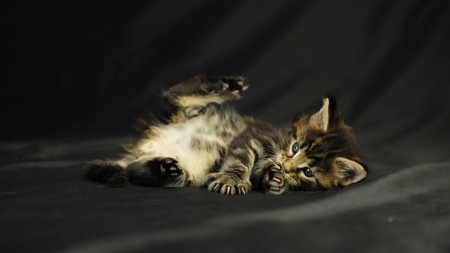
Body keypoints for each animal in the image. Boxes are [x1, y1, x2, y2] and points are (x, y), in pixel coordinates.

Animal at [86, 76, 368, 195]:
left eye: (308, 171)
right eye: (296, 147)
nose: (286, 164)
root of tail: (145, 145)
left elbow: (262, 175)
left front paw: (276, 181)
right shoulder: (253, 137)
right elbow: (240, 160)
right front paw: (231, 180)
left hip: (188, 173)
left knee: (137, 170)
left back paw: (162, 170)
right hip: (181, 111)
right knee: (176, 93)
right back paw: (225, 84)